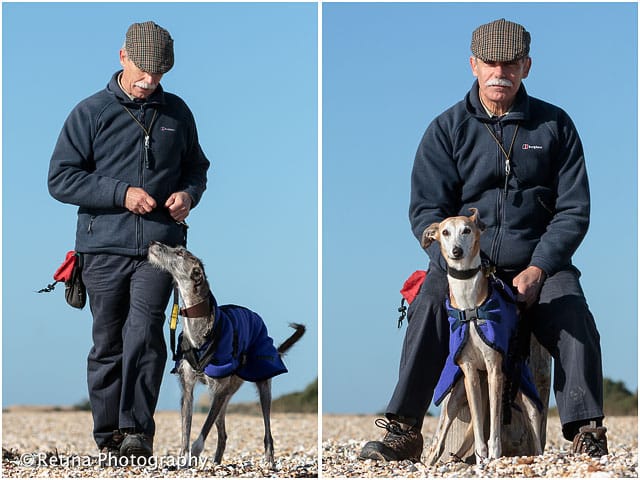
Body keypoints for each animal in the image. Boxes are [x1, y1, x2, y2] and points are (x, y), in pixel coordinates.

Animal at [148, 242, 304, 466]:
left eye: (179, 252)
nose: (154, 243)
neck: (199, 331)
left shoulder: (219, 387)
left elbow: (201, 434)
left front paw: (194, 456)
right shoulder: (188, 388)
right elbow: (186, 431)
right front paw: (183, 461)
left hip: (261, 387)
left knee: (267, 431)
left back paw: (269, 462)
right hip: (225, 395)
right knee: (222, 433)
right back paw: (216, 462)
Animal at [422, 209, 544, 462]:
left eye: (467, 230)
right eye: (445, 232)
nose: (456, 251)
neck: (470, 305)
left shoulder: (495, 369)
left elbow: (495, 428)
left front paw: (493, 456)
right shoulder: (470, 373)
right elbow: (478, 426)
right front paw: (481, 457)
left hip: (524, 392)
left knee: (535, 432)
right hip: (456, 396)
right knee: (440, 439)